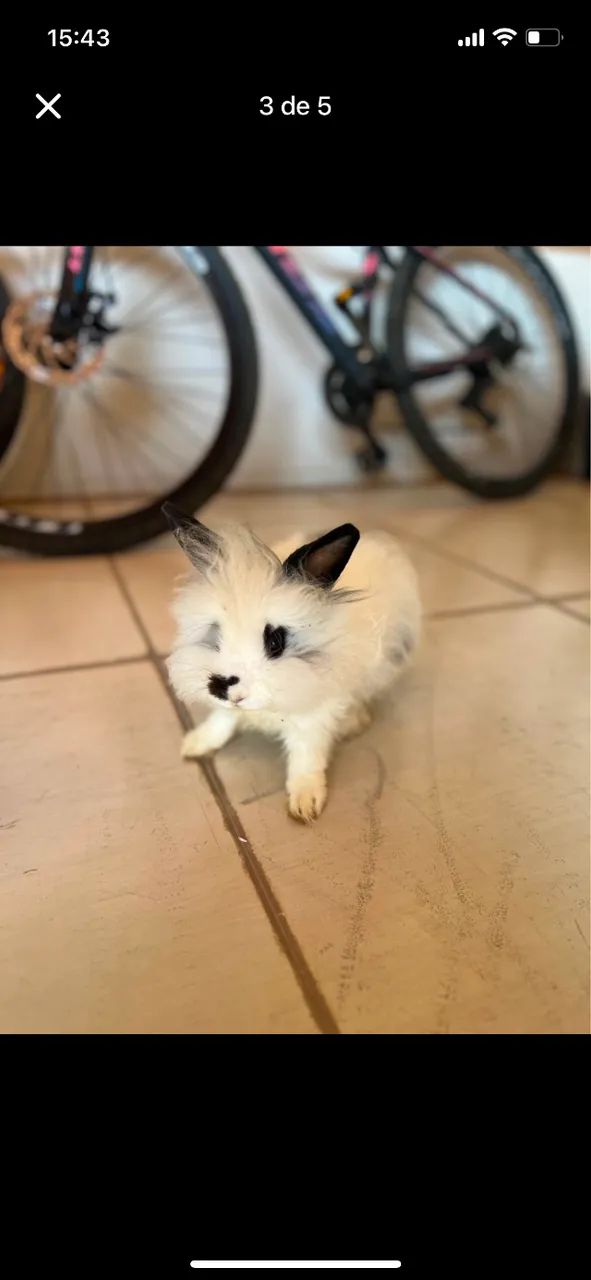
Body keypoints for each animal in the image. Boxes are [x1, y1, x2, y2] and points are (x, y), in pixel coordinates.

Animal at [163, 503, 421, 823]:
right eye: (215, 632)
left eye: (275, 642)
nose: (221, 687)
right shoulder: (227, 709)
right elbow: (222, 719)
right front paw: (196, 744)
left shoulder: (314, 715)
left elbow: (306, 757)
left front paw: (306, 802)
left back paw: (353, 723)